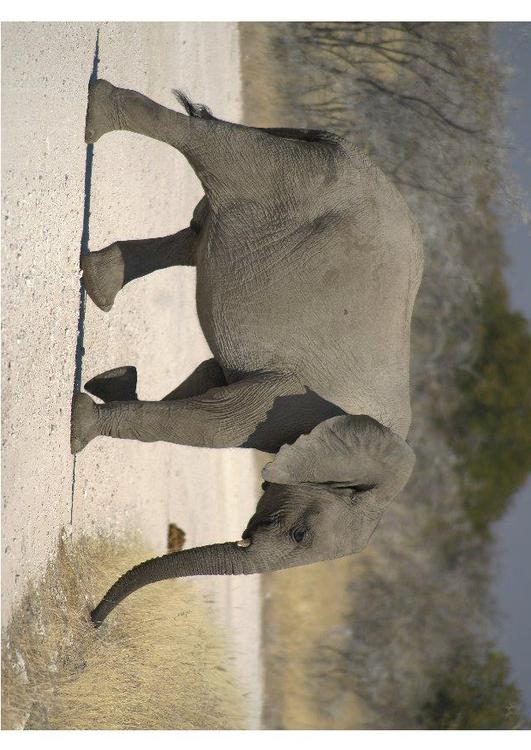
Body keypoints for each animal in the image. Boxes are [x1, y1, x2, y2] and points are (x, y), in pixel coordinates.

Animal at [70, 79, 424, 627]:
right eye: (301, 535)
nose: (94, 621)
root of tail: (337, 142)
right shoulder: (291, 402)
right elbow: (218, 424)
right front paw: (82, 425)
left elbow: (204, 382)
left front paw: (109, 385)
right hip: (296, 178)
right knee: (213, 153)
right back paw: (97, 111)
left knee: (193, 236)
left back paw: (99, 285)